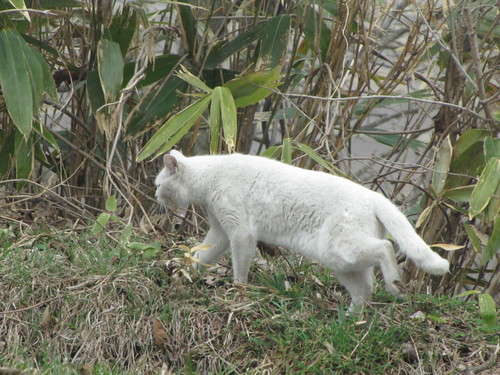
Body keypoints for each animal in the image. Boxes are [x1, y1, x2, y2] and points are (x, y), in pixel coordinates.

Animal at [155, 150, 450, 312]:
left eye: (158, 184)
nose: (156, 196)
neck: (209, 177)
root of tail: (374, 197)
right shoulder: (219, 231)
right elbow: (200, 255)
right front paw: (184, 271)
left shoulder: (240, 232)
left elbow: (239, 267)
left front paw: (239, 291)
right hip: (342, 262)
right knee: (365, 290)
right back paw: (349, 320)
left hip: (339, 249)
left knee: (385, 249)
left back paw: (395, 284)